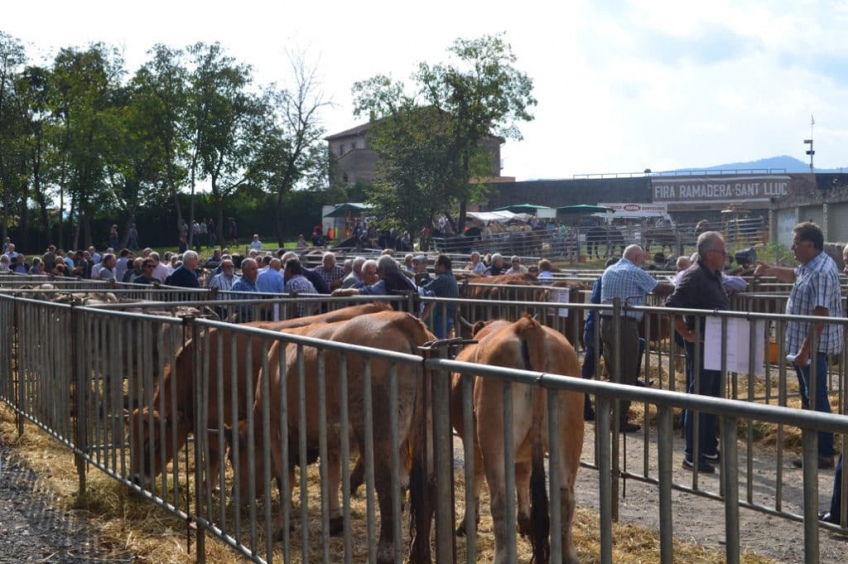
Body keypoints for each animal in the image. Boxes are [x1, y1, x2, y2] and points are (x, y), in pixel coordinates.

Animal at [448, 318, 580, 564]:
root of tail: (526, 325)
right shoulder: (525, 453)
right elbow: (523, 477)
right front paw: (525, 523)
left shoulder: (472, 443)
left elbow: (474, 478)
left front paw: (466, 524)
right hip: (569, 436)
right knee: (565, 496)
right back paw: (568, 554)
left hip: (494, 437)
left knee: (500, 500)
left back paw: (501, 555)